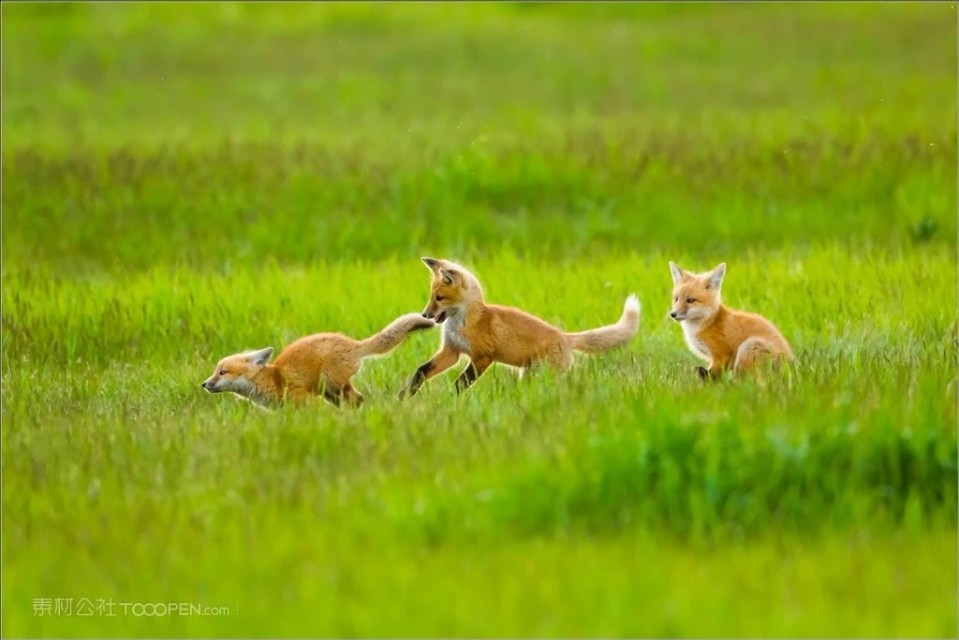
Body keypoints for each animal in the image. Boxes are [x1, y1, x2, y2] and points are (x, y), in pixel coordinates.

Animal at [202, 312, 436, 408]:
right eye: (215, 371)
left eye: (222, 372)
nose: (204, 384)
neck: (274, 379)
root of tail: (352, 343)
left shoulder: (306, 400)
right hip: (329, 392)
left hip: (331, 386)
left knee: (358, 400)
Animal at [402, 255, 640, 396]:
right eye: (431, 297)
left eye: (439, 298)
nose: (425, 315)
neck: (466, 321)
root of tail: (565, 337)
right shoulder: (452, 351)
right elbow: (421, 371)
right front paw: (404, 395)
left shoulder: (482, 356)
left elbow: (460, 384)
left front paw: (453, 401)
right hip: (528, 375)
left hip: (544, 375)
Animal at [668, 262, 796, 380]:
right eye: (676, 299)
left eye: (690, 300)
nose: (673, 314)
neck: (708, 322)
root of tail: (791, 366)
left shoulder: (721, 354)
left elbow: (714, 376)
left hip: (748, 346)